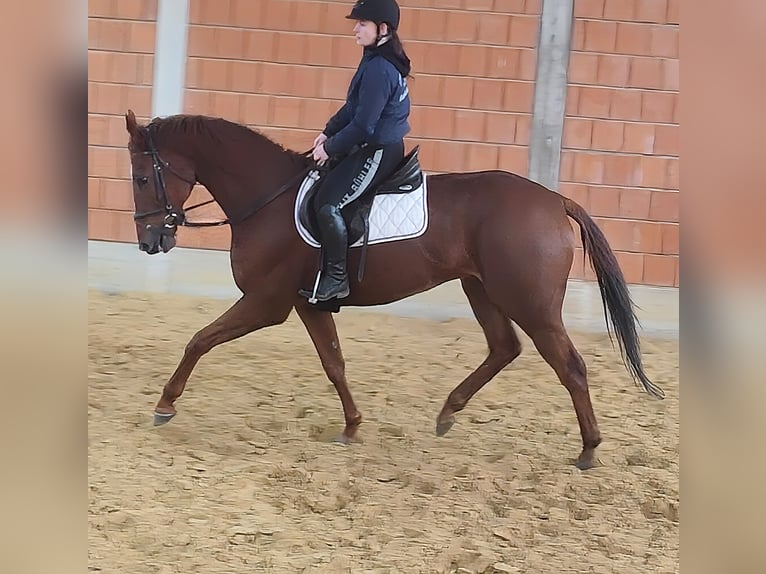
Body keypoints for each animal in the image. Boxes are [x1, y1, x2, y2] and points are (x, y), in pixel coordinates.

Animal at [123, 109, 664, 470]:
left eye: (142, 176)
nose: (151, 241)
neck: (269, 200)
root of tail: (554, 199)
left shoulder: (266, 303)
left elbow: (199, 340)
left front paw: (165, 405)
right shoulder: (307, 304)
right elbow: (335, 364)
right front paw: (350, 426)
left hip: (530, 304)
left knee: (569, 366)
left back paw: (588, 450)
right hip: (482, 290)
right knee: (503, 348)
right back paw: (448, 413)